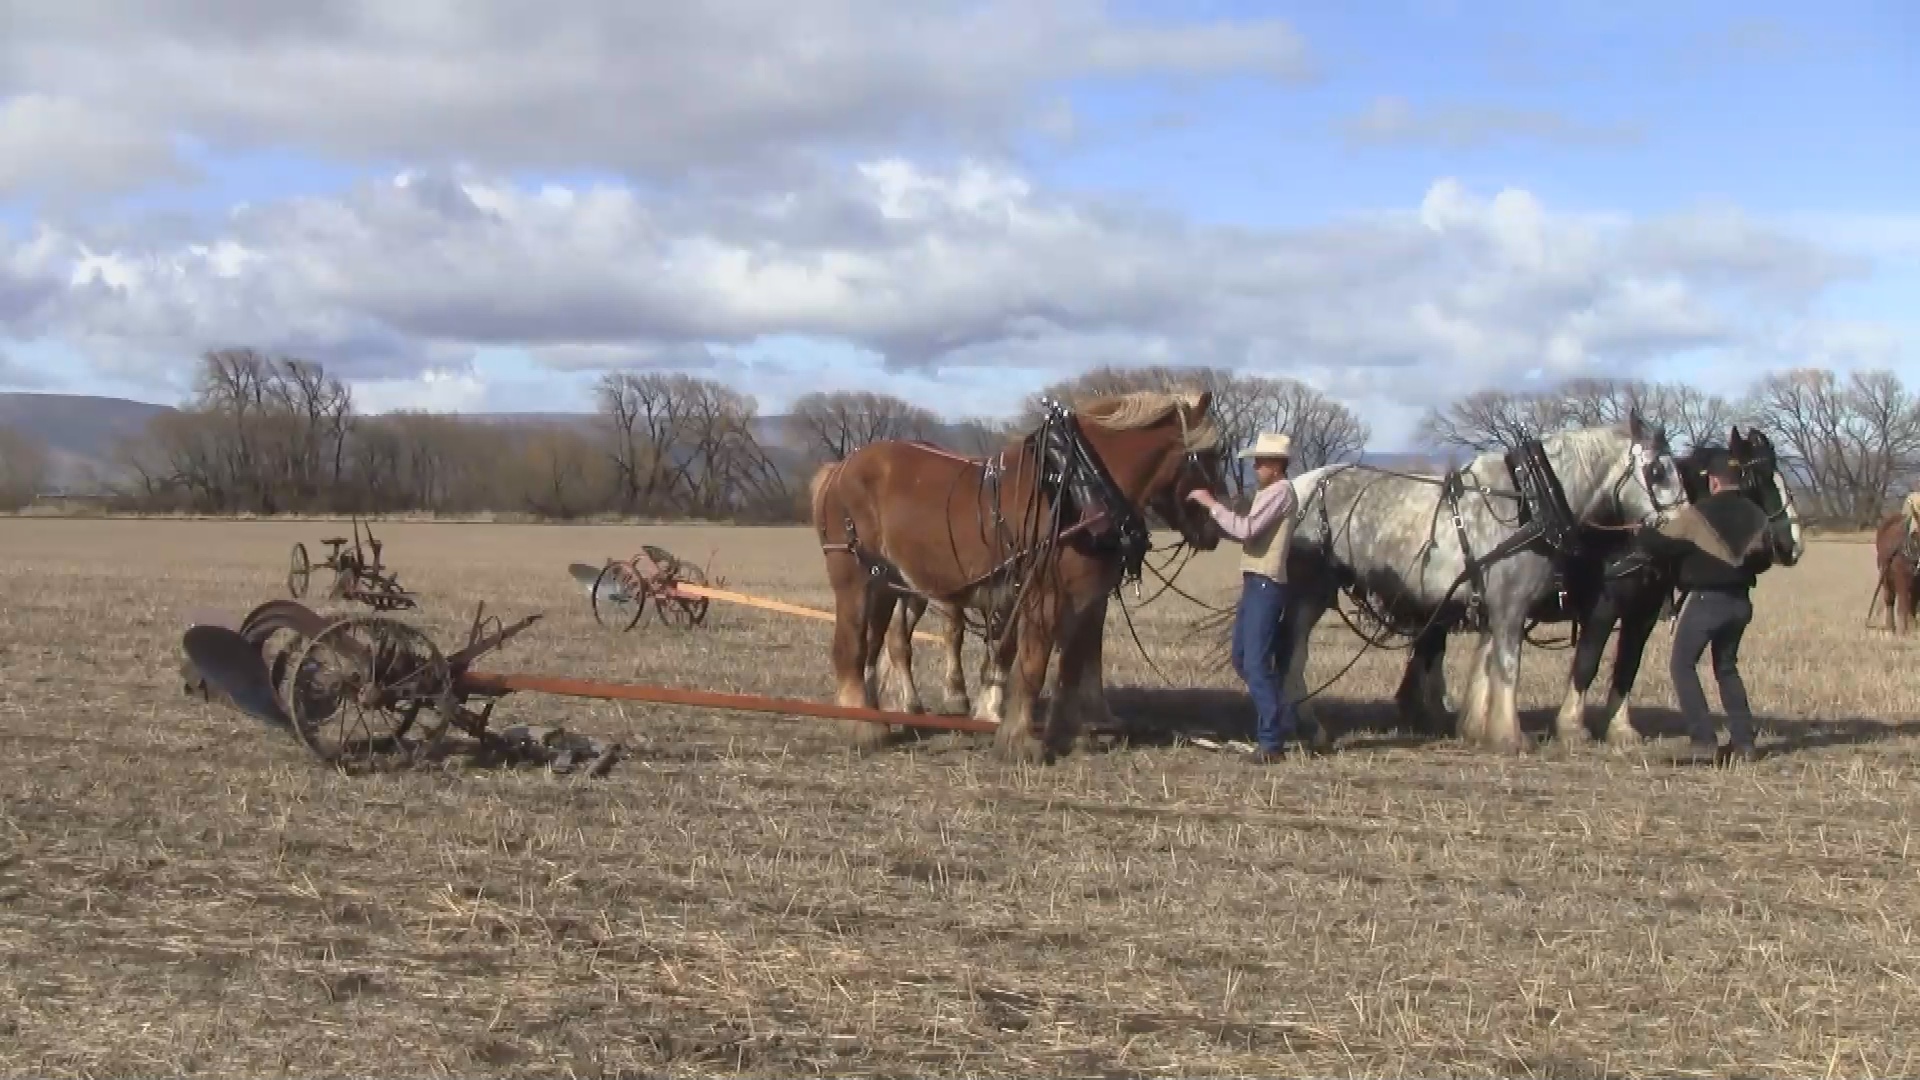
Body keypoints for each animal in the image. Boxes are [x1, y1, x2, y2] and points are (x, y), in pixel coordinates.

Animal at [808, 390, 1225, 762]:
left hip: (887, 583)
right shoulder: (1045, 595)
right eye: (1211, 456)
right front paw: (1019, 741)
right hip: (854, 578)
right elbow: (1032, 666)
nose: (1215, 529)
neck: (1075, 487)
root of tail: (838, 469)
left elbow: (1071, 667)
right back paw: (864, 729)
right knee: (851, 648)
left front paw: (1070, 734)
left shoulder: (1085, 599)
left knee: (877, 646)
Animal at [1273, 414, 1692, 753]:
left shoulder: (1495, 604)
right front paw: (1511, 737)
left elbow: (1486, 664)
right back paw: (1307, 726)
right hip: (1310, 592)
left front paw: (1476, 729)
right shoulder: (1514, 603)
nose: (1684, 524)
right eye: (1658, 471)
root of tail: (1298, 485)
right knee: (1293, 654)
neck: (1529, 503)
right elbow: (1509, 666)